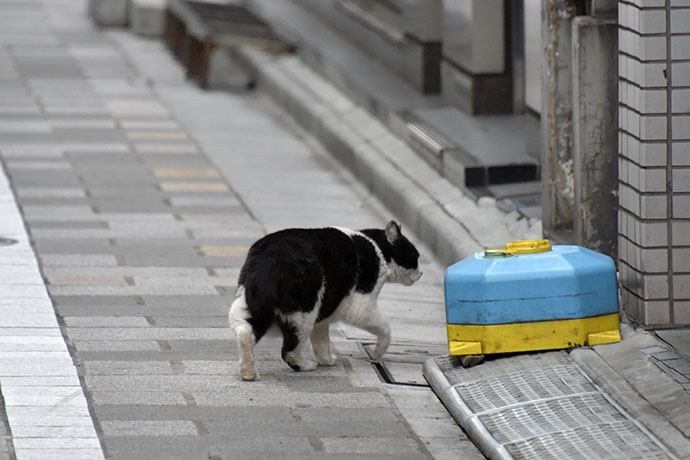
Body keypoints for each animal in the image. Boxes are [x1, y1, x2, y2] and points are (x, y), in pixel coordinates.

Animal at [228, 220, 420, 380]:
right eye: (416, 258)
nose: (421, 273)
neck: (377, 248)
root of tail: (268, 259)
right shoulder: (361, 306)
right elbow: (385, 328)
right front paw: (378, 351)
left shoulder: (324, 313)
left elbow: (321, 340)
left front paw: (326, 360)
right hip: (304, 311)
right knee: (289, 350)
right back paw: (305, 365)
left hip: (249, 304)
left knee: (245, 333)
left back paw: (248, 372)